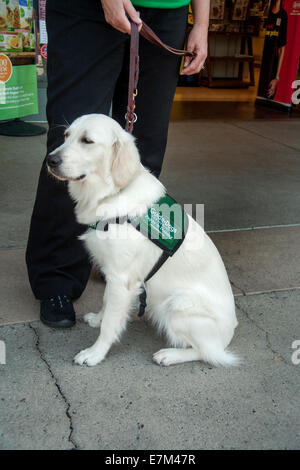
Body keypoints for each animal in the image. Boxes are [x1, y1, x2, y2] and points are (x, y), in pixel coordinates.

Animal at [47, 114, 239, 368]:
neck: (112, 193)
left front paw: (95, 354)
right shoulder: (112, 274)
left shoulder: (122, 279)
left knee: (208, 352)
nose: (50, 160)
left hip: (178, 303)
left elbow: (110, 325)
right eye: (66, 135)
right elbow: (106, 303)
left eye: (87, 141)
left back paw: (169, 355)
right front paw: (98, 319)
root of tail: (230, 334)